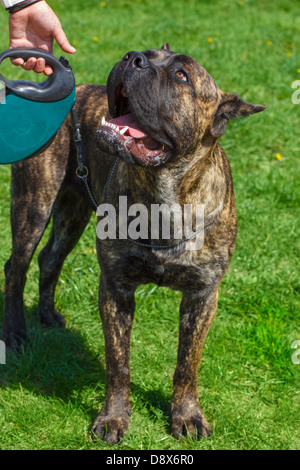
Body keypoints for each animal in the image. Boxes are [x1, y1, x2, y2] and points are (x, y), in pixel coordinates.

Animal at [1, 44, 264, 444]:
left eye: (182, 75)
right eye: (149, 53)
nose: (132, 57)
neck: (163, 194)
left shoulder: (203, 295)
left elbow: (187, 363)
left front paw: (187, 415)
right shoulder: (116, 287)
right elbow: (118, 361)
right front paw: (113, 418)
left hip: (73, 209)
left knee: (51, 258)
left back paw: (47, 314)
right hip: (35, 202)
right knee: (17, 267)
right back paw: (15, 334)